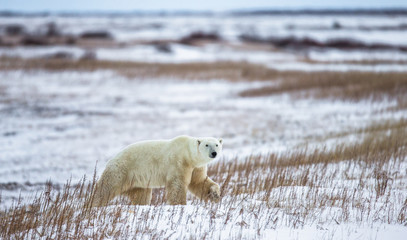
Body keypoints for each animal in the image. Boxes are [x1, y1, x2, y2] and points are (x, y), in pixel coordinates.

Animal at [89, 135, 223, 206]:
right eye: (207, 145)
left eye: (217, 144)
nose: (214, 153)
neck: (188, 154)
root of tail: (110, 160)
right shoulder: (178, 162)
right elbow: (177, 185)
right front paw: (180, 205)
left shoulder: (196, 167)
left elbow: (199, 182)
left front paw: (215, 194)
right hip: (120, 171)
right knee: (105, 189)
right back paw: (92, 205)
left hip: (137, 181)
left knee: (141, 195)